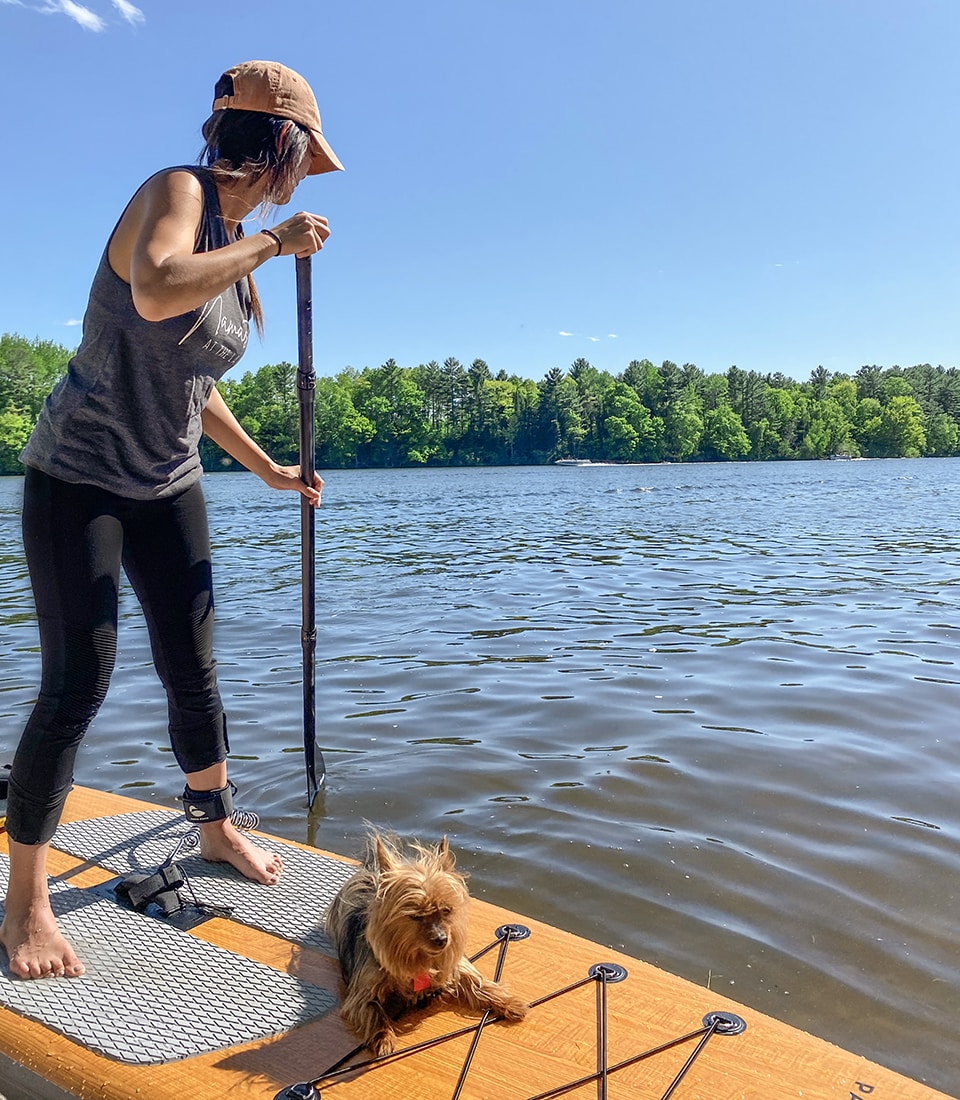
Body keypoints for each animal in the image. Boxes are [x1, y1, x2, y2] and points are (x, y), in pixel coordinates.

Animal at [325, 827, 527, 1051]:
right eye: (416, 916)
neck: (418, 956)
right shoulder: (361, 993)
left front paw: (508, 1002)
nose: (442, 939)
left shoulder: (454, 964)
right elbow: (373, 1010)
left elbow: (476, 981)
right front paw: (383, 1037)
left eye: (446, 910)